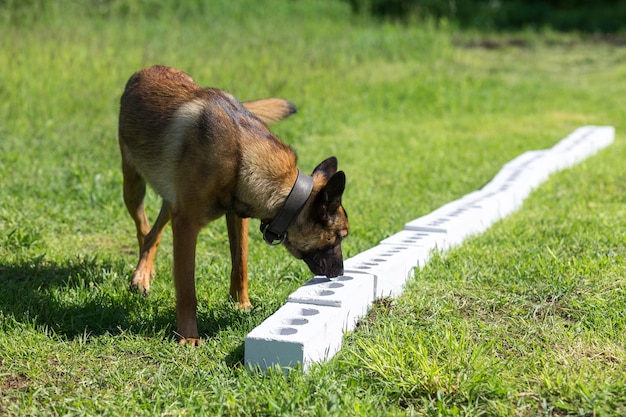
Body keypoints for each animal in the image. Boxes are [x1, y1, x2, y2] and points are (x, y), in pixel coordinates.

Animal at [119, 66, 348, 344]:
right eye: (340, 236)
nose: (341, 273)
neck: (241, 155)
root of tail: (147, 69)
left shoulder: (236, 216)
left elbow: (241, 263)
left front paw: (241, 304)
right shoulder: (186, 225)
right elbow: (187, 290)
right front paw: (189, 337)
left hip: (169, 198)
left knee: (155, 231)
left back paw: (146, 271)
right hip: (133, 187)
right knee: (143, 227)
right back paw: (141, 275)